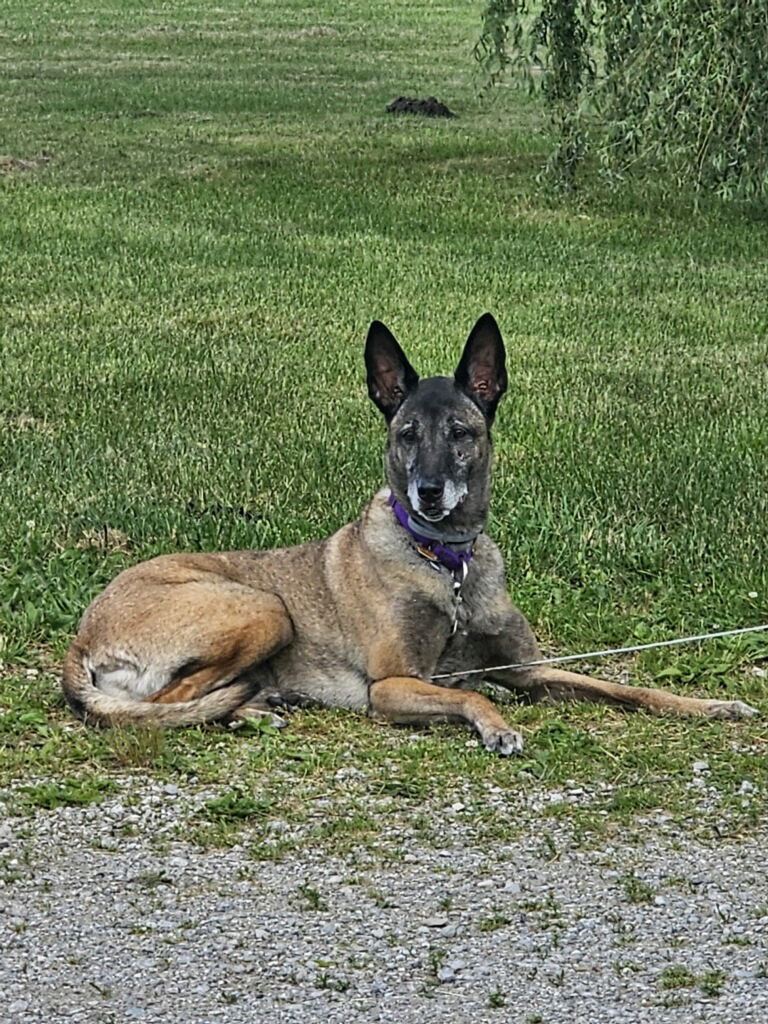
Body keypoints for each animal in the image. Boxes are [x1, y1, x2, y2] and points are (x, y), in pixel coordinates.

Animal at [61, 315, 757, 757]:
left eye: (461, 432)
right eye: (407, 435)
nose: (428, 493)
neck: (446, 564)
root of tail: (83, 633)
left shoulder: (530, 670)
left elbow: (625, 687)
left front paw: (710, 706)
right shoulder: (393, 687)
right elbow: (469, 697)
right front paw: (495, 726)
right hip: (264, 608)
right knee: (167, 703)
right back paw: (252, 706)